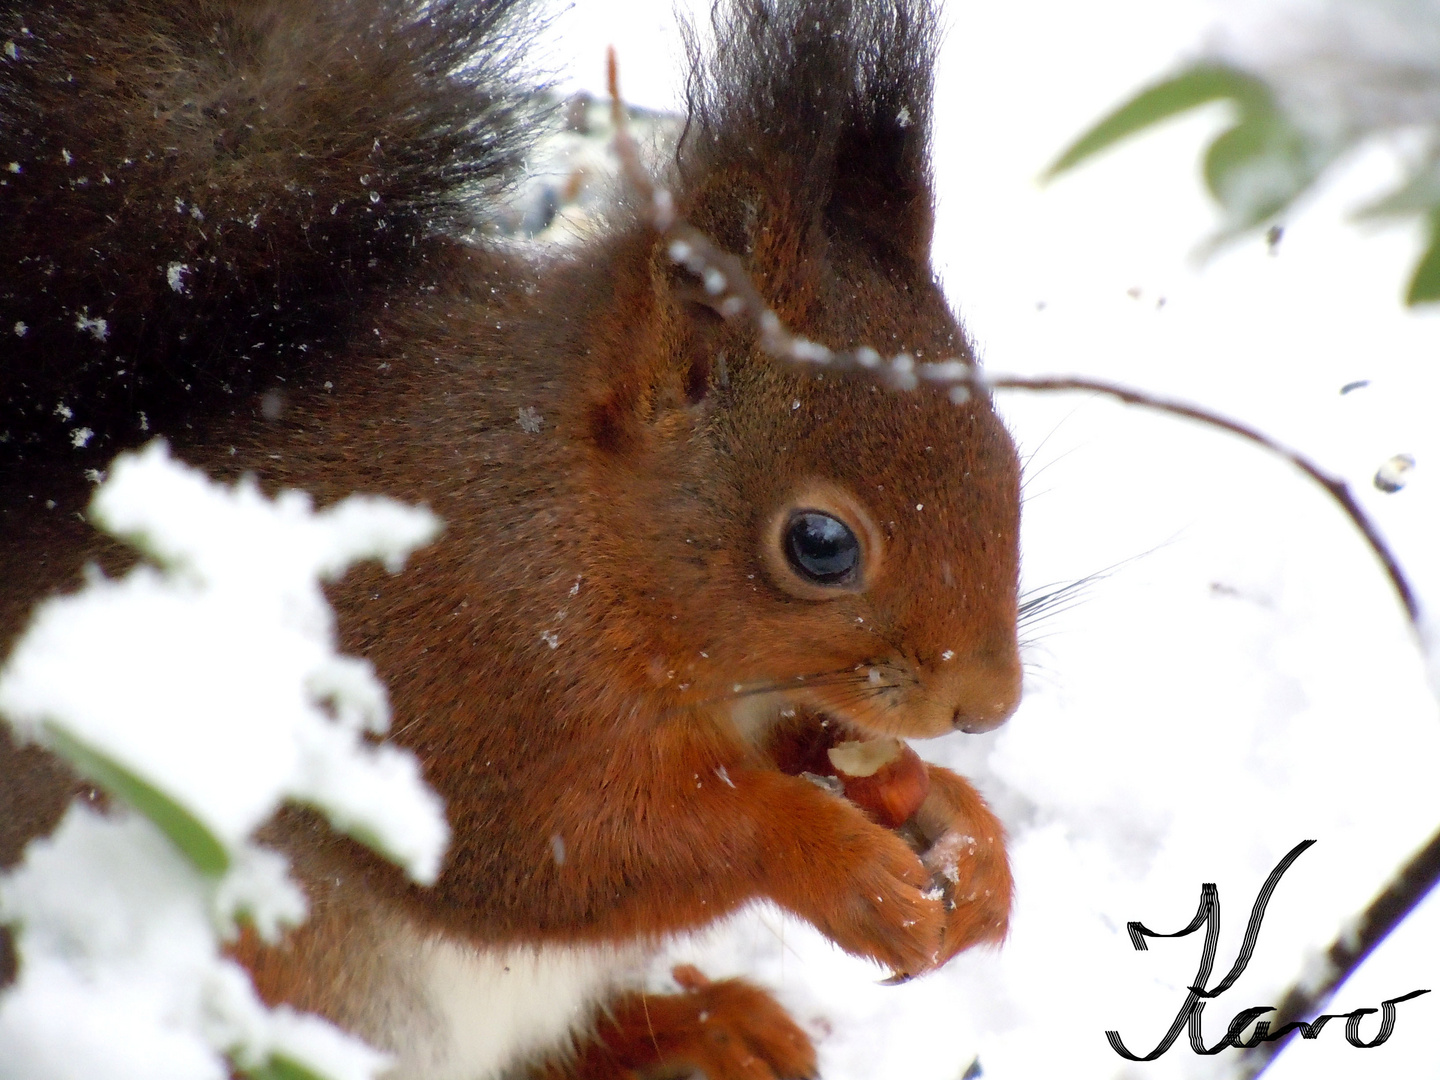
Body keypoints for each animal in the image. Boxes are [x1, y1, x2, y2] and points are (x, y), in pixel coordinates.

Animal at [2, 0, 1025, 1077]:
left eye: (1006, 456)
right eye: (821, 544)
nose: (988, 706)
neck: (582, 523)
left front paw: (959, 827)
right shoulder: (462, 659)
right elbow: (559, 849)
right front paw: (837, 864)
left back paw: (711, 1025)